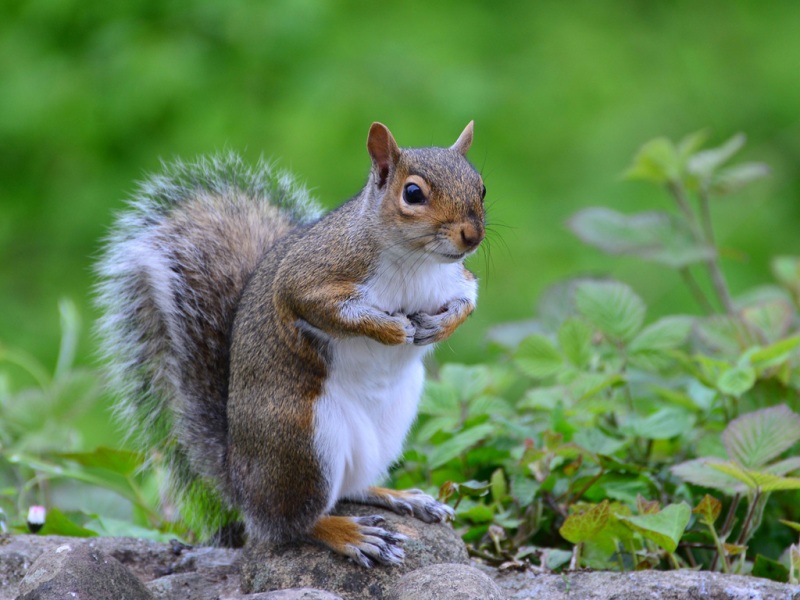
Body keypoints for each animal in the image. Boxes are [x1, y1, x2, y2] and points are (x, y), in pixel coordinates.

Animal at [98, 120, 488, 568]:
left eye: (481, 187)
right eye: (412, 193)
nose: (472, 236)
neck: (417, 261)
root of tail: (241, 485)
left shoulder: (456, 279)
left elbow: (468, 300)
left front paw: (439, 326)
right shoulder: (309, 277)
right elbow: (323, 307)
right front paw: (392, 331)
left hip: (389, 424)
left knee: (350, 488)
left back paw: (399, 496)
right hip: (303, 440)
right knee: (291, 524)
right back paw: (349, 534)